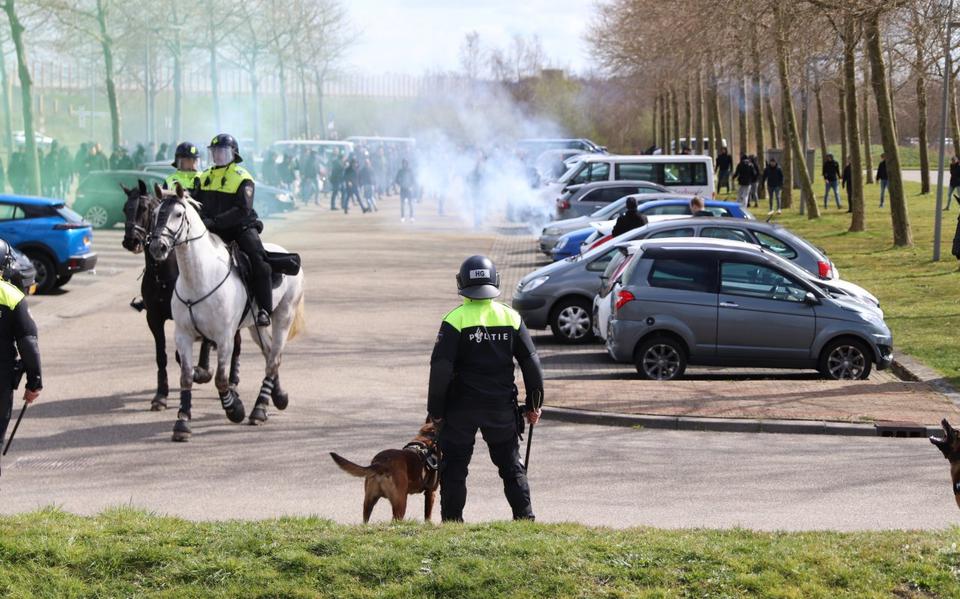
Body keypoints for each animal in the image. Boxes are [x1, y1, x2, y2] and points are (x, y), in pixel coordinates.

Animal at [122, 180, 242, 410]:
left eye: (144, 209)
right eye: (125, 209)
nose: (131, 241)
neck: (162, 273)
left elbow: (186, 354)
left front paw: (201, 372)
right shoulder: (154, 318)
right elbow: (162, 356)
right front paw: (161, 395)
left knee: (235, 344)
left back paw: (231, 380)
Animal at [146, 185, 306, 442]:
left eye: (178, 214)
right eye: (154, 213)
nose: (157, 247)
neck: (199, 278)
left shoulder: (224, 338)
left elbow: (221, 379)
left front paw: (235, 409)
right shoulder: (183, 335)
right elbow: (186, 377)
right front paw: (182, 422)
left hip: (284, 316)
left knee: (273, 360)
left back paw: (259, 410)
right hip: (255, 326)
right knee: (270, 353)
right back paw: (278, 397)